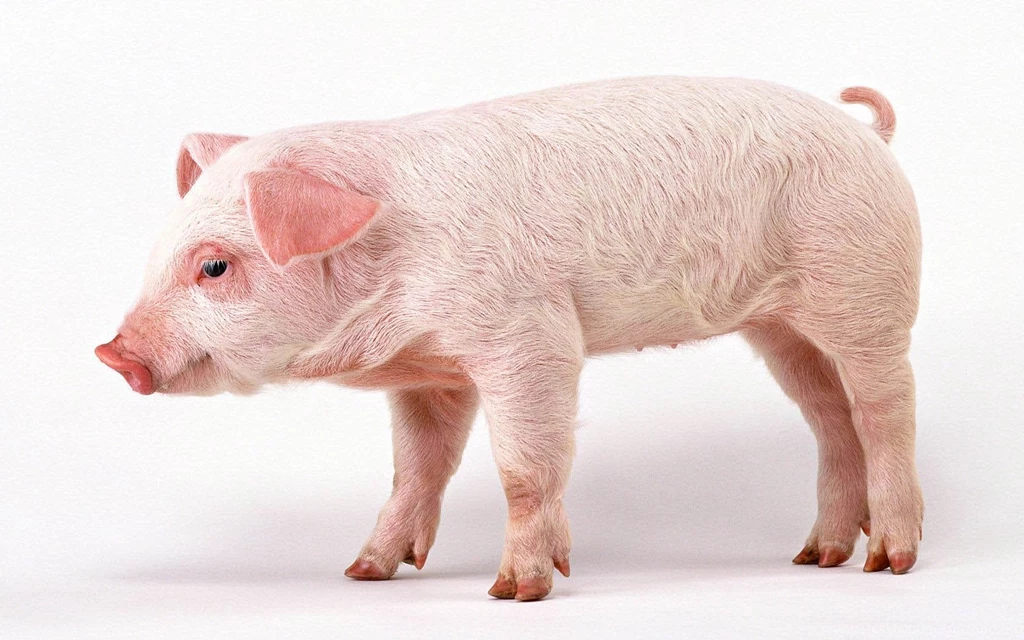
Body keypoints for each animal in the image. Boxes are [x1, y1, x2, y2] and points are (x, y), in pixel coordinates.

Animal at [96, 77, 923, 601]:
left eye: (214, 265)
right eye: (160, 250)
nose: (112, 354)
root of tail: (868, 134)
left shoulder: (529, 336)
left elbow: (524, 467)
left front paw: (515, 592)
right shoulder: (428, 372)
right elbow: (416, 469)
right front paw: (363, 574)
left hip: (866, 294)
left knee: (885, 410)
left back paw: (888, 563)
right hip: (779, 329)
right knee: (829, 419)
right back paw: (816, 558)